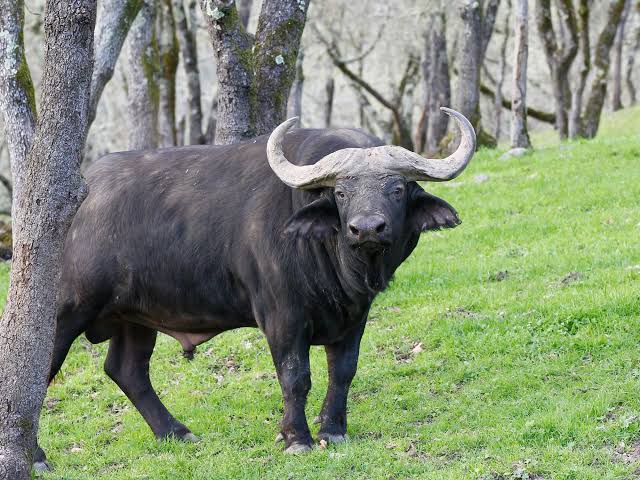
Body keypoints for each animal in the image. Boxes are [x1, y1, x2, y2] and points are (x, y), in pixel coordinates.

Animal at [34, 108, 476, 469]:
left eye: (396, 189)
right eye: (341, 192)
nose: (366, 228)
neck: (335, 264)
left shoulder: (354, 316)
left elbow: (344, 371)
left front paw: (333, 430)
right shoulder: (281, 315)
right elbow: (295, 376)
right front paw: (296, 438)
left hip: (135, 316)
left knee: (126, 369)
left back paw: (177, 433)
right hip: (66, 310)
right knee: (44, 369)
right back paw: (37, 456)